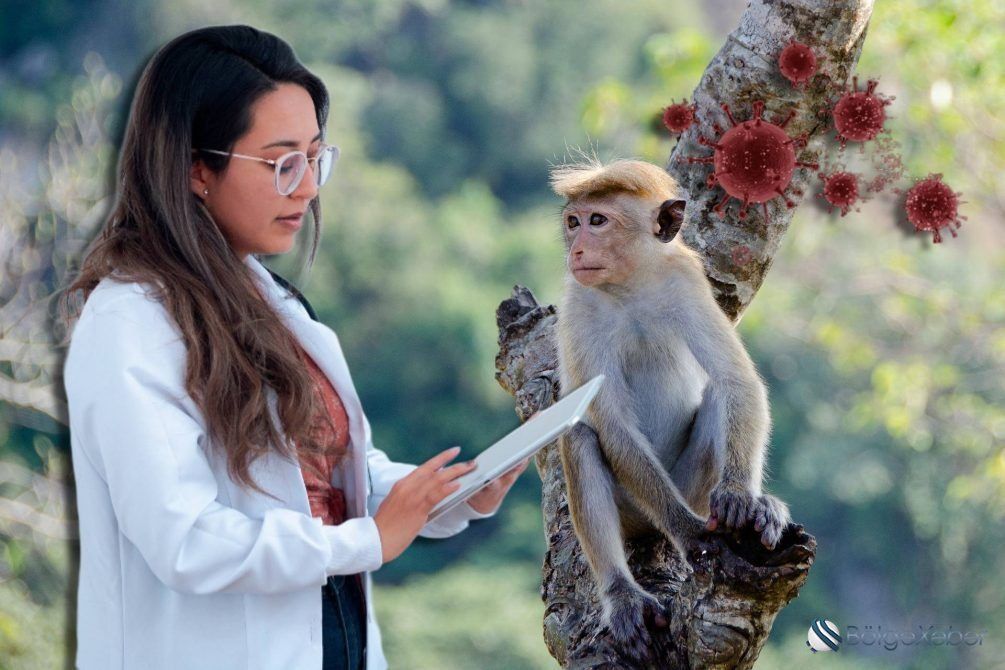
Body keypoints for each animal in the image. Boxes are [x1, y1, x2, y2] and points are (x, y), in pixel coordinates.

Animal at [550, 159, 791, 662]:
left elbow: (736, 380)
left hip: (690, 485)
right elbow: (613, 425)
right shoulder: (579, 308)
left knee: (719, 396)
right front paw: (690, 534)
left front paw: (742, 497)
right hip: (634, 507)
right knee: (580, 436)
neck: (629, 286)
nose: (577, 248)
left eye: (597, 220)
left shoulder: (686, 281)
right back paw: (623, 594)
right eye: (573, 222)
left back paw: (758, 506)